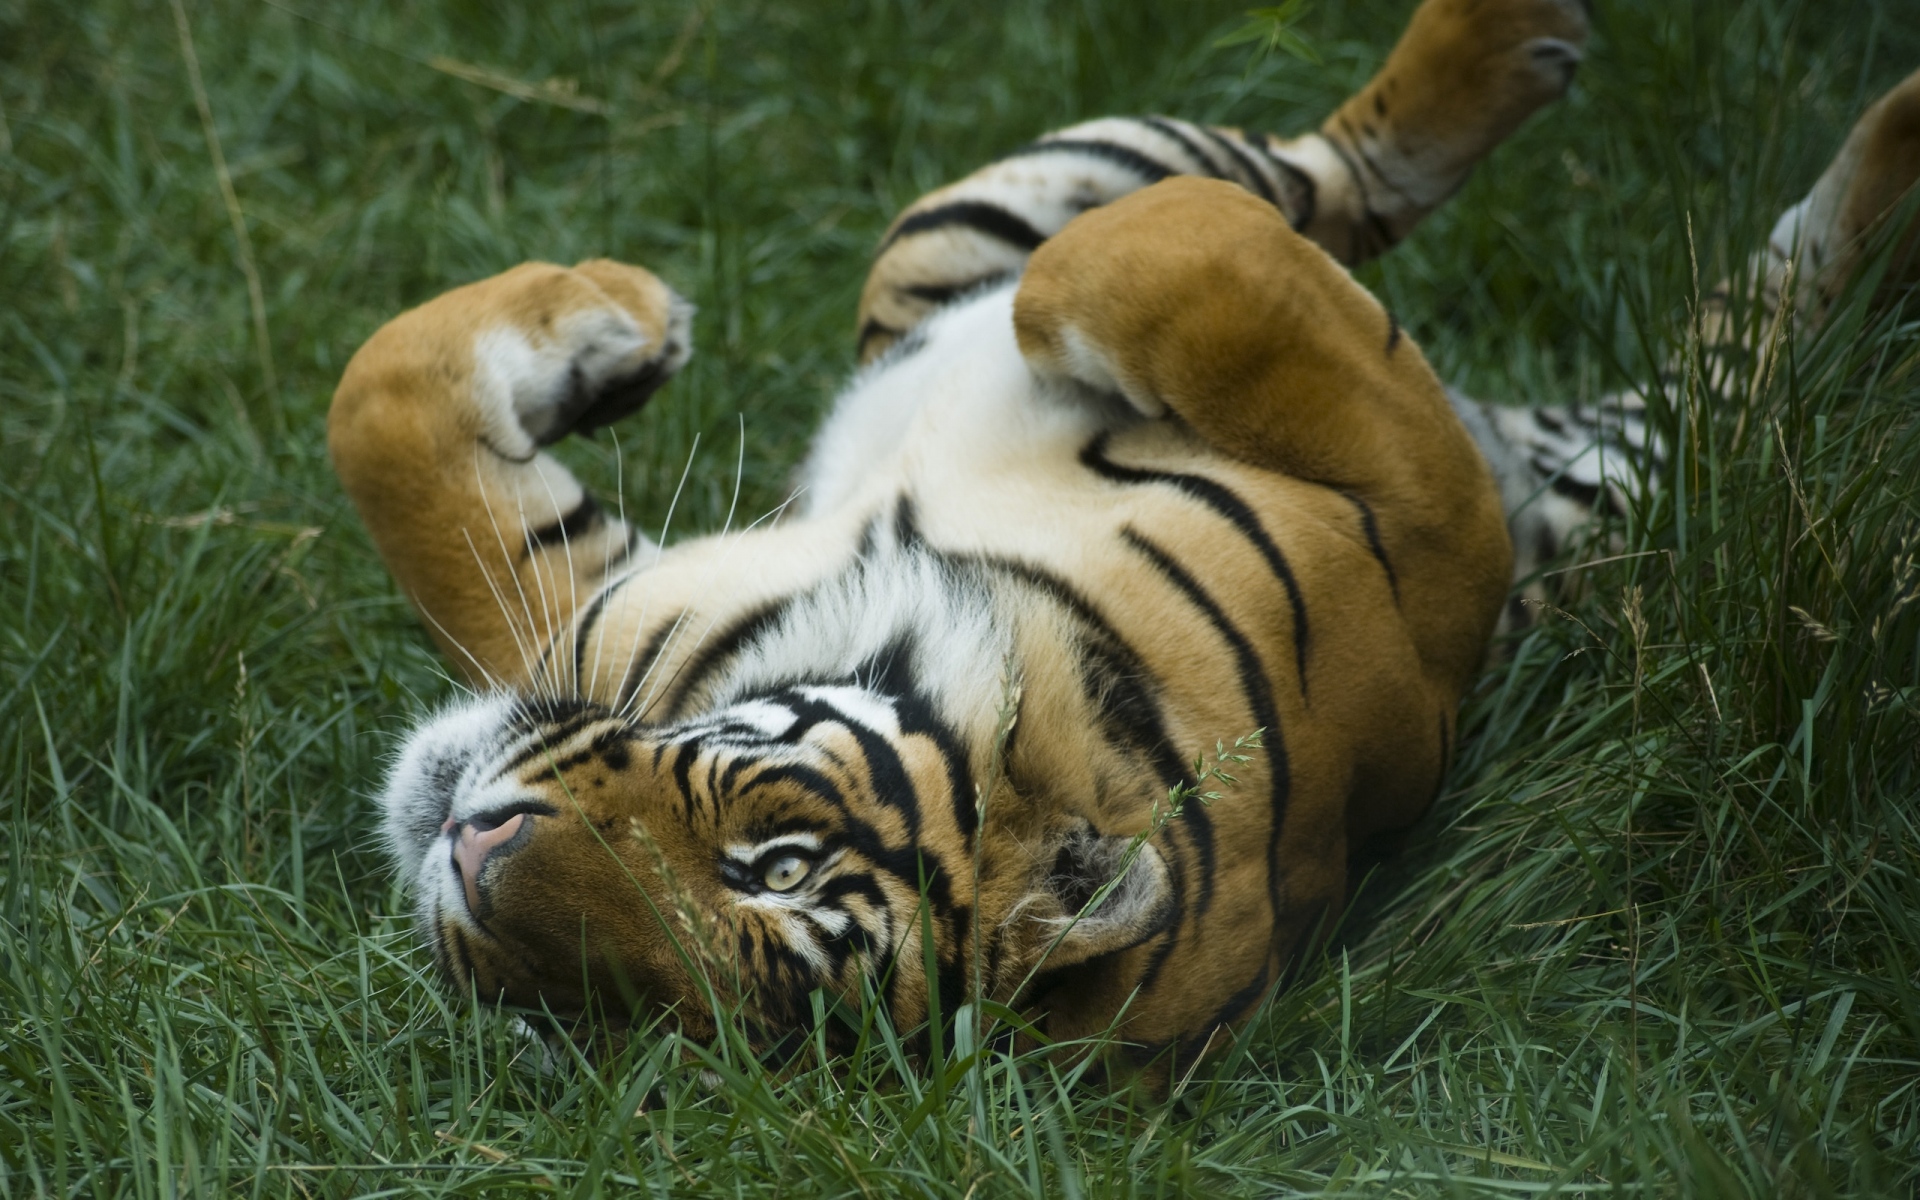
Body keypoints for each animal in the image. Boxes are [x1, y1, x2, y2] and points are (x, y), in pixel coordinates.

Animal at [329, 0, 1920, 1073]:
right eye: (576, 1003)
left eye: (773, 870)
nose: (471, 852)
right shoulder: (601, 619)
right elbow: (383, 407)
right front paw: (621, 331)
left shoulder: (1426, 531)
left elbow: (1154, 261)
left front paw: (628, 331)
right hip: (972, 233)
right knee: (1328, 186)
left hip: (991, 228)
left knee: (1287, 190)